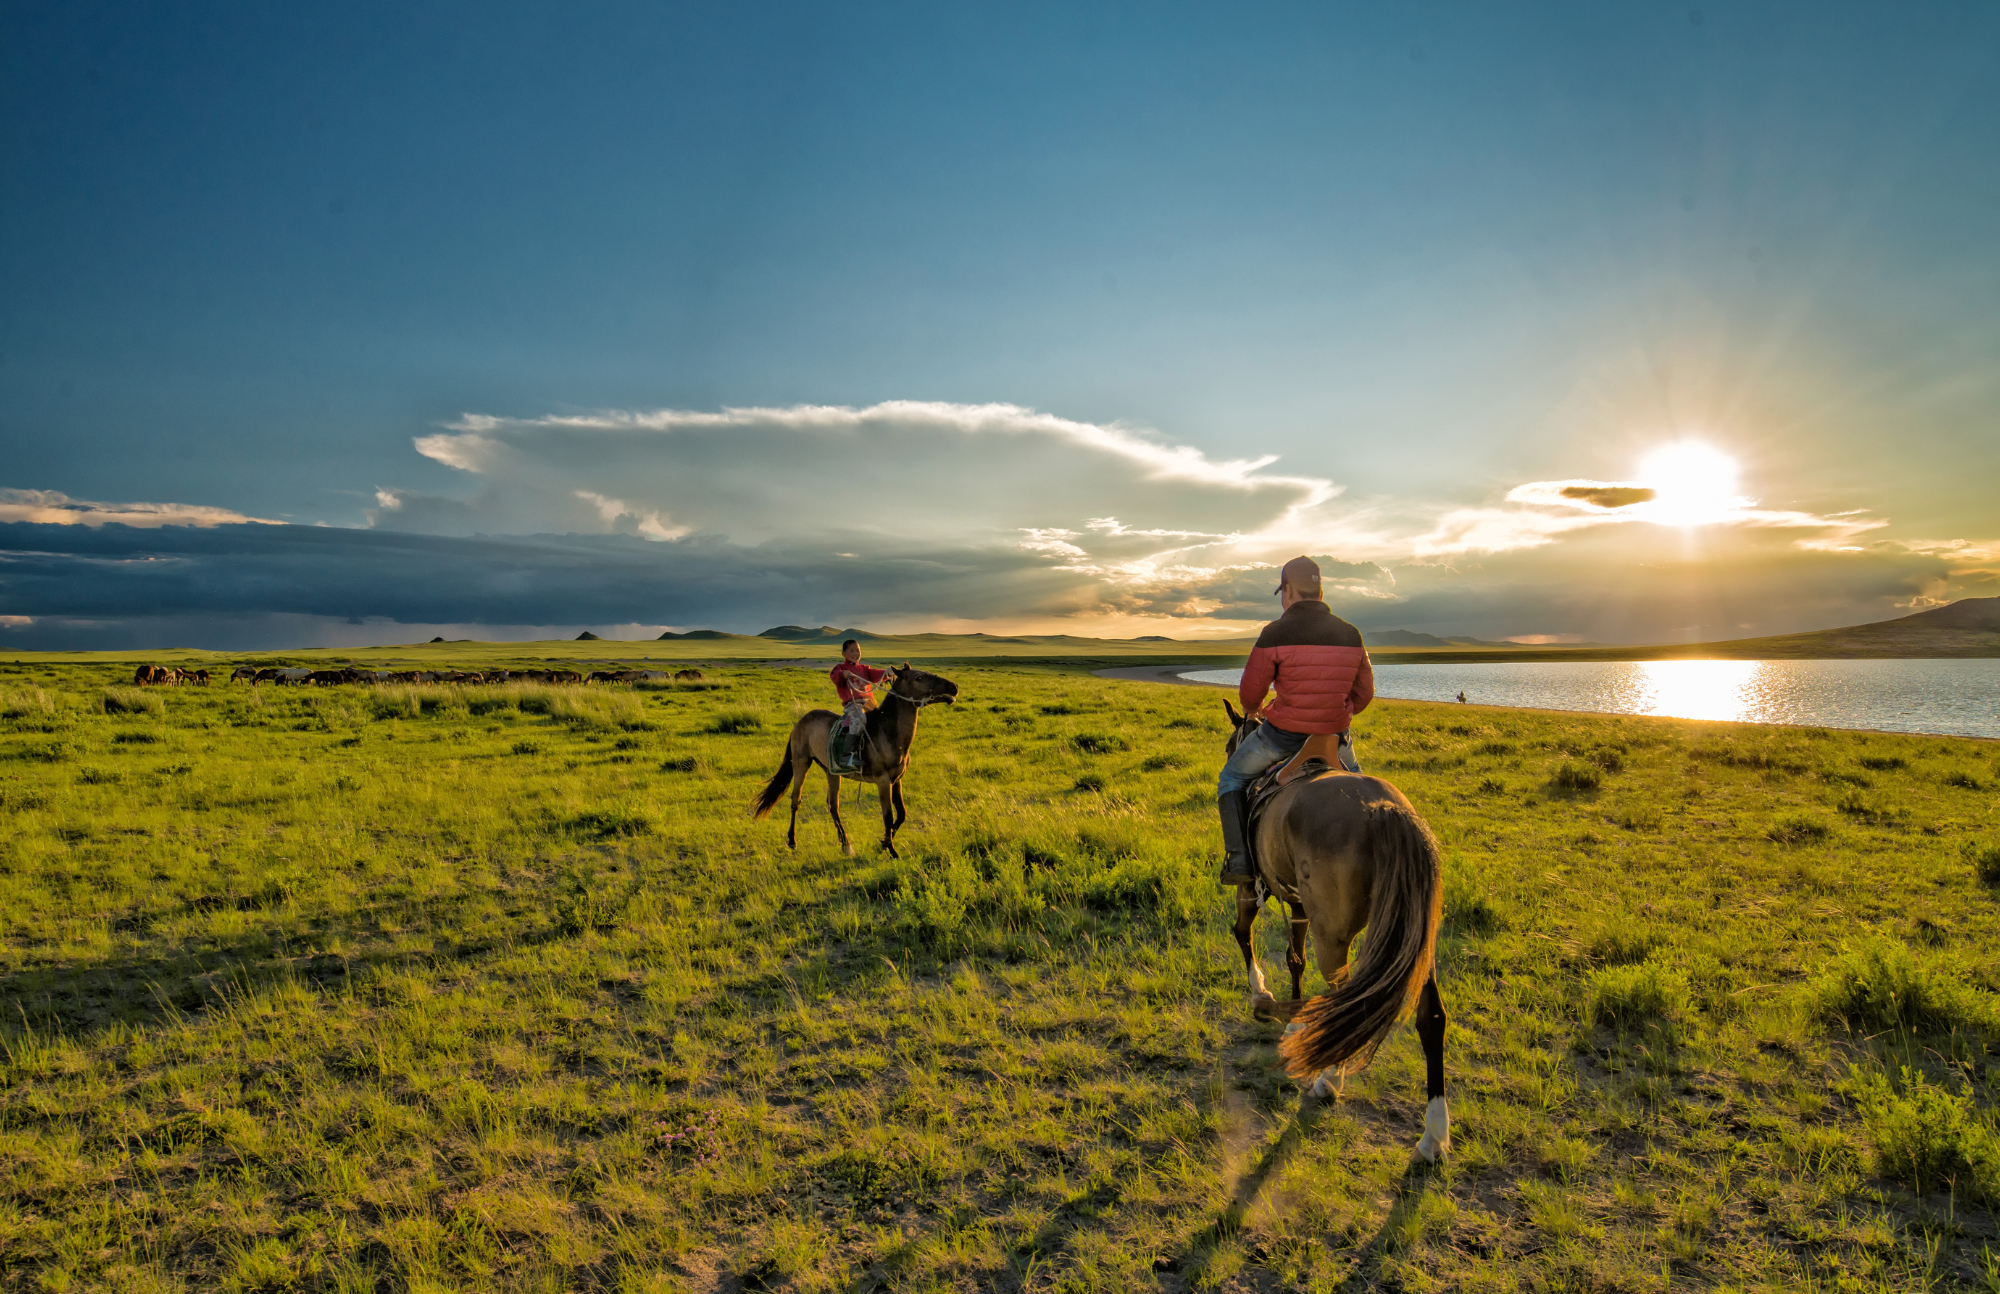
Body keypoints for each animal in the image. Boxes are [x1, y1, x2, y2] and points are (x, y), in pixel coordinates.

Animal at [756, 668, 960, 860]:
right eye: (919, 677)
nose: (953, 687)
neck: (889, 733)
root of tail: (800, 722)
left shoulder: (897, 780)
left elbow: (901, 813)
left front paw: (882, 844)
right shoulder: (883, 781)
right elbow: (888, 816)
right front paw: (891, 850)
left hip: (831, 772)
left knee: (833, 805)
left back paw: (846, 844)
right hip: (801, 763)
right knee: (795, 800)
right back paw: (792, 841)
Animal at [1216, 704, 1456, 1168]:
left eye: (1228, 746)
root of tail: (1384, 810)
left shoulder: (1252, 888)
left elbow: (1244, 934)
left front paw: (1262, 995)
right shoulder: (1297, 904)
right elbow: (1294, 958)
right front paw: (1294, 1019)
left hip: (1335, 939)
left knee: (1348, 1004)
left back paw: (1329, 1081)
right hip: (1418, 946)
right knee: (1431, 1017)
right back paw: (1433, 1136)